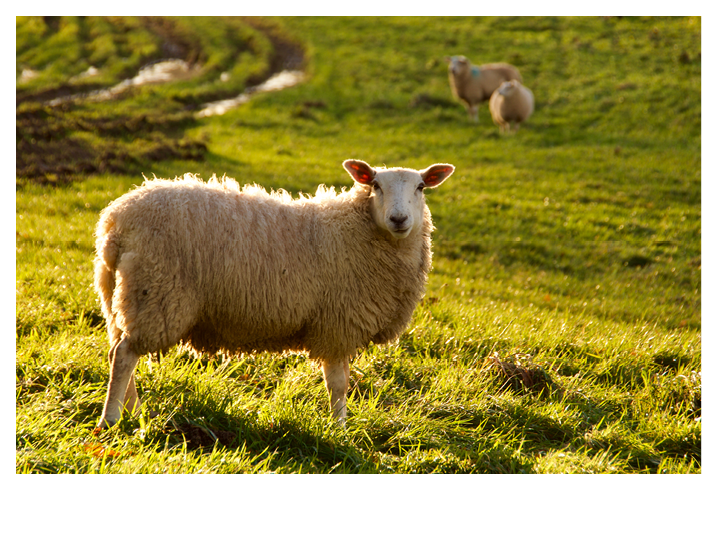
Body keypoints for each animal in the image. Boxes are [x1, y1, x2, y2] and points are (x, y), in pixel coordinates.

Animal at [93, 159, 454, 428]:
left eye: (421, 187)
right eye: (376, 185)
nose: (399, 219)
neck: (358, 229)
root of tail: (115, 220)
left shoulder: (338, 324)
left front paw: (339, 426)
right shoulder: (337, 323)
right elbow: (338, 384)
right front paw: (339, 429)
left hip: (121, 296)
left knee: (116, 351)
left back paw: (133, 412)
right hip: (156, 293)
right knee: (125, 354)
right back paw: (110, 420)